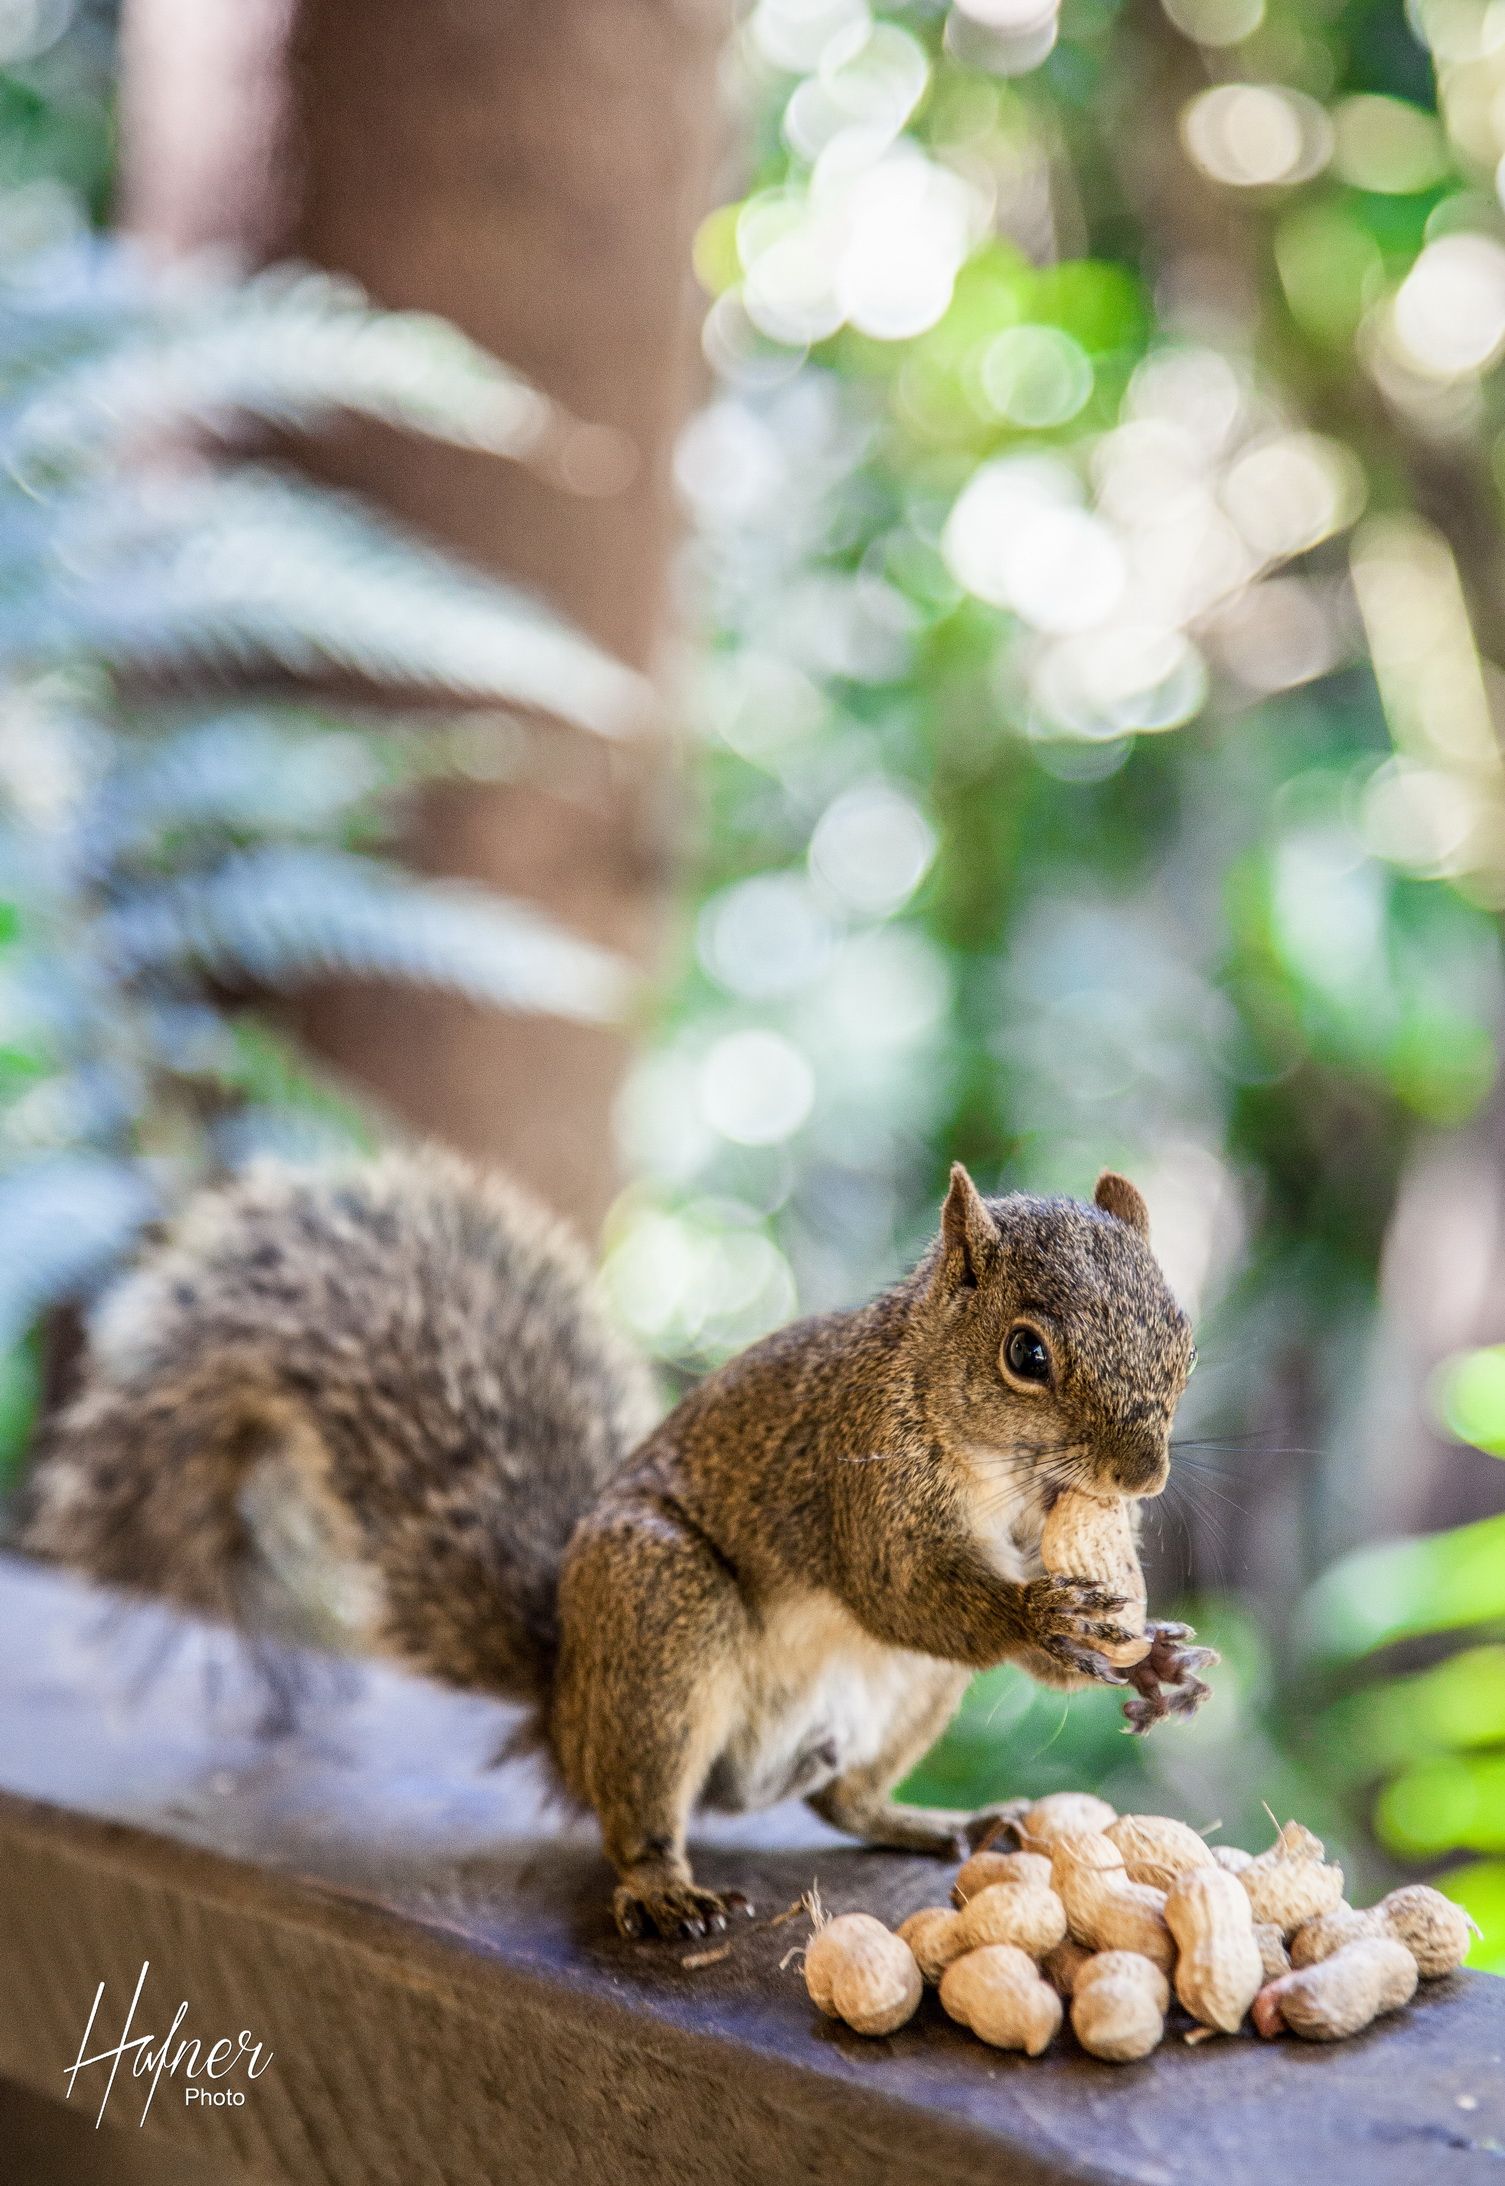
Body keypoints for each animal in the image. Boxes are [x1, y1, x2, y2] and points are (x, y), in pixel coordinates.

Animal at [17, 1145, 1207, 1932]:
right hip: (658, 1616)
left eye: (1180, 1331)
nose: (1142, 1477)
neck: (998, 1473)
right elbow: (900, 1590)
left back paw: (933, 1821)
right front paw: (1037, 1613)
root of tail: (564, 1706)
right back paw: (664, 1889)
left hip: (900, 1693)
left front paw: (1159, 1662)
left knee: (841, 1796)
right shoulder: (856, 1479)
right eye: (1025, 1352)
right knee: (637, 1814)